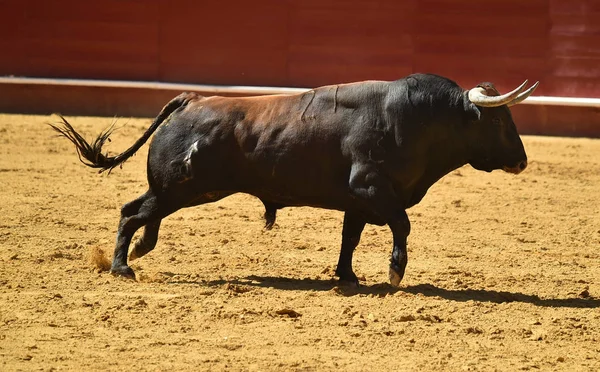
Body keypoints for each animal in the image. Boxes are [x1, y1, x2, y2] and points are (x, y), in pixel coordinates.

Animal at [51, 74, 536, 286]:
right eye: (498, 121)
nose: (522, 161)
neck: (417, 119)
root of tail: (192, 99)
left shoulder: (359, 201)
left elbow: (350, 238)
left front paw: (347, 277)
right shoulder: (371, 188)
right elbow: (402, 225)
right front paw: (394, 273)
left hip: (176, 189)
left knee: (138, 211)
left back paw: (136, 252)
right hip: (180, 189)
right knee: (133, 214)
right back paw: (122, 266)